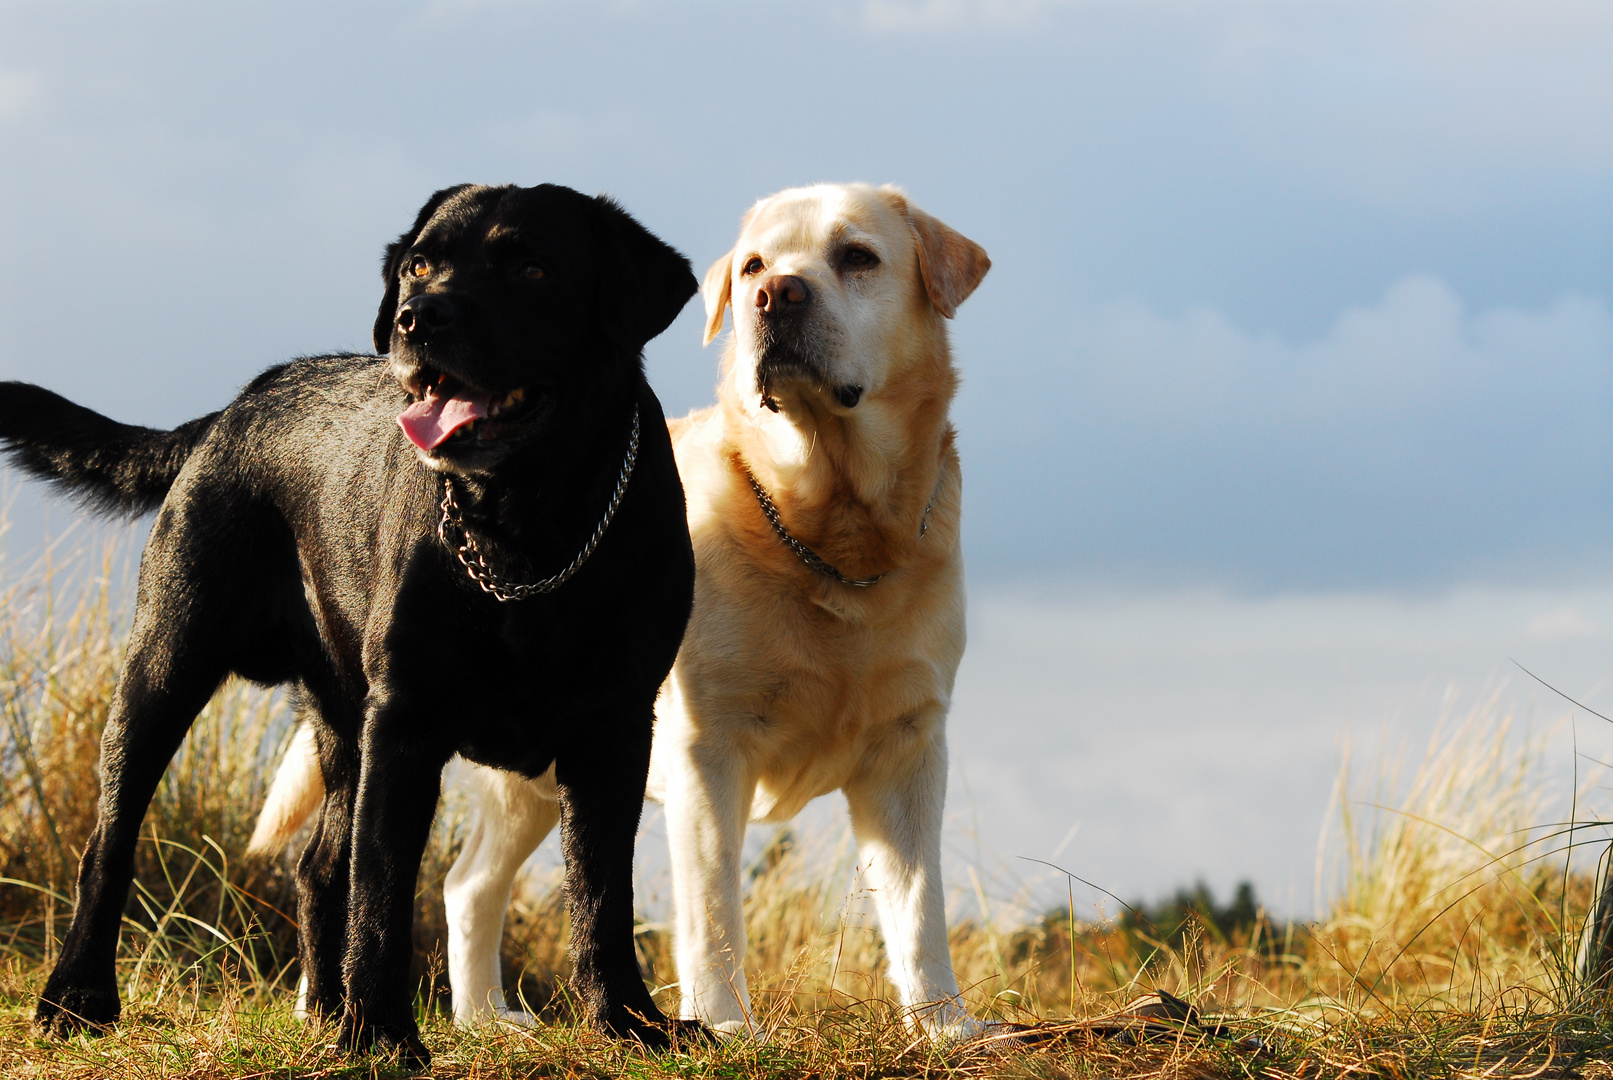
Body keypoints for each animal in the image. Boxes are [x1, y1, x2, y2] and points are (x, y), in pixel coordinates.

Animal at [3, 182, 703, 1063]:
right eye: (419, 264)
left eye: (532, 268)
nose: (417, 317)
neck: (523, 537)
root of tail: (235, 406)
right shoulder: (405, 720)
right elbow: (384, 894)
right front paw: (381, 1037)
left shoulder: (615, 728)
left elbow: (603, 894)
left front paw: (630, 1023)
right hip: (167, 660)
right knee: (111, 842)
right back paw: (79, 998)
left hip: (338, 719)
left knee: (317, 866)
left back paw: (326, 1010)